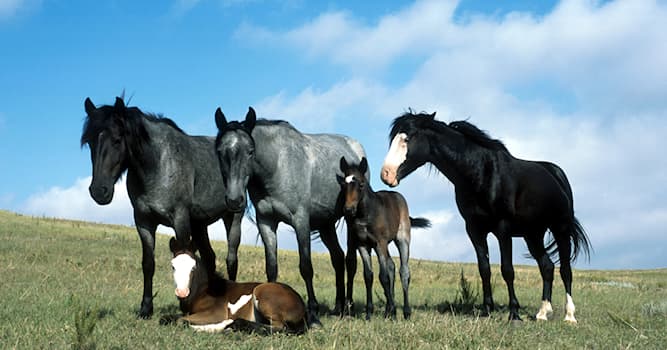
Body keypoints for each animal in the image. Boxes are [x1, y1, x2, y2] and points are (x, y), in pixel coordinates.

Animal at [80, 96, 244, 318]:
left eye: (117, 139)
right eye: (90, 142)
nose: (99, 191)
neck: (158, 165)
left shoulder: (180, 219)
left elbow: (185, 256)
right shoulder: (144, 222)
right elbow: (148, 264)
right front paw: (146, 308)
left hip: (233, 218)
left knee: (231, 259)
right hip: (200, 225)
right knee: (209, 257)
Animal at [171, 238, 310, 334]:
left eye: (193, 267)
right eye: (173, 266)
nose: (182, 292)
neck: (204, 290)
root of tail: (301, 304)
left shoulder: (216, 312)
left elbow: (180, 320)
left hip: (262, 293)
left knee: (281, 328)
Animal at [214, 107, 368, 326]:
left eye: (250, 151)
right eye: (220, 152)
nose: (234, 200)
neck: (277, 166)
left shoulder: (300, 221)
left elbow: (306, 267)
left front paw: (313, 314)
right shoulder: (266, 222)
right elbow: (271, 267)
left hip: (349, 219)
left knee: (350, 262)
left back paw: (348, 308)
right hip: (326, 223)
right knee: (337, 259)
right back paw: (338, 307)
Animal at [342, 157, 430, 322]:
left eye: (361, 184)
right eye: (344, 184)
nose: (348, 209)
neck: (366, 215)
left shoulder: (379, 243)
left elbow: (383, 277)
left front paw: (394, 311)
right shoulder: (363, 245)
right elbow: (368, 276)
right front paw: (369, 313)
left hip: (402, 239)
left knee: (403, 271)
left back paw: (405, 312)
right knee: (391, 266)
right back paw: (388, 310)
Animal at [378, 111, 592, 322]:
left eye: (407, 139)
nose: (386, 174)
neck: (482, 172)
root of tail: (556, 174)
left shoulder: (503, 228)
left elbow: (507, 270)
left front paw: (514, 313)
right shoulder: (474, 229)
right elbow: (484, 269)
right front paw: (487, 309)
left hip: (560, 229)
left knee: (565, 270)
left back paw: (569, 315)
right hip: (533, 235)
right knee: (547, 267)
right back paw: (542, 313)